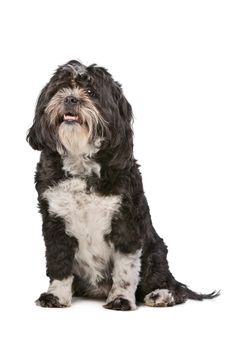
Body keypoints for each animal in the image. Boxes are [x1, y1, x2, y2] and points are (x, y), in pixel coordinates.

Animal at [26, 59, 218, 308]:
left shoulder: (126, 221)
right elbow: (59, 262)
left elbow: (126, 267)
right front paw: (56, 296)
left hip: (155, 251)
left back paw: (161, 294)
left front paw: (120, 298)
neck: (80, 162)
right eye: (60, 88)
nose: (70, 98)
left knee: (174, 287)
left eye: (91, 91)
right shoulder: (54, 222)